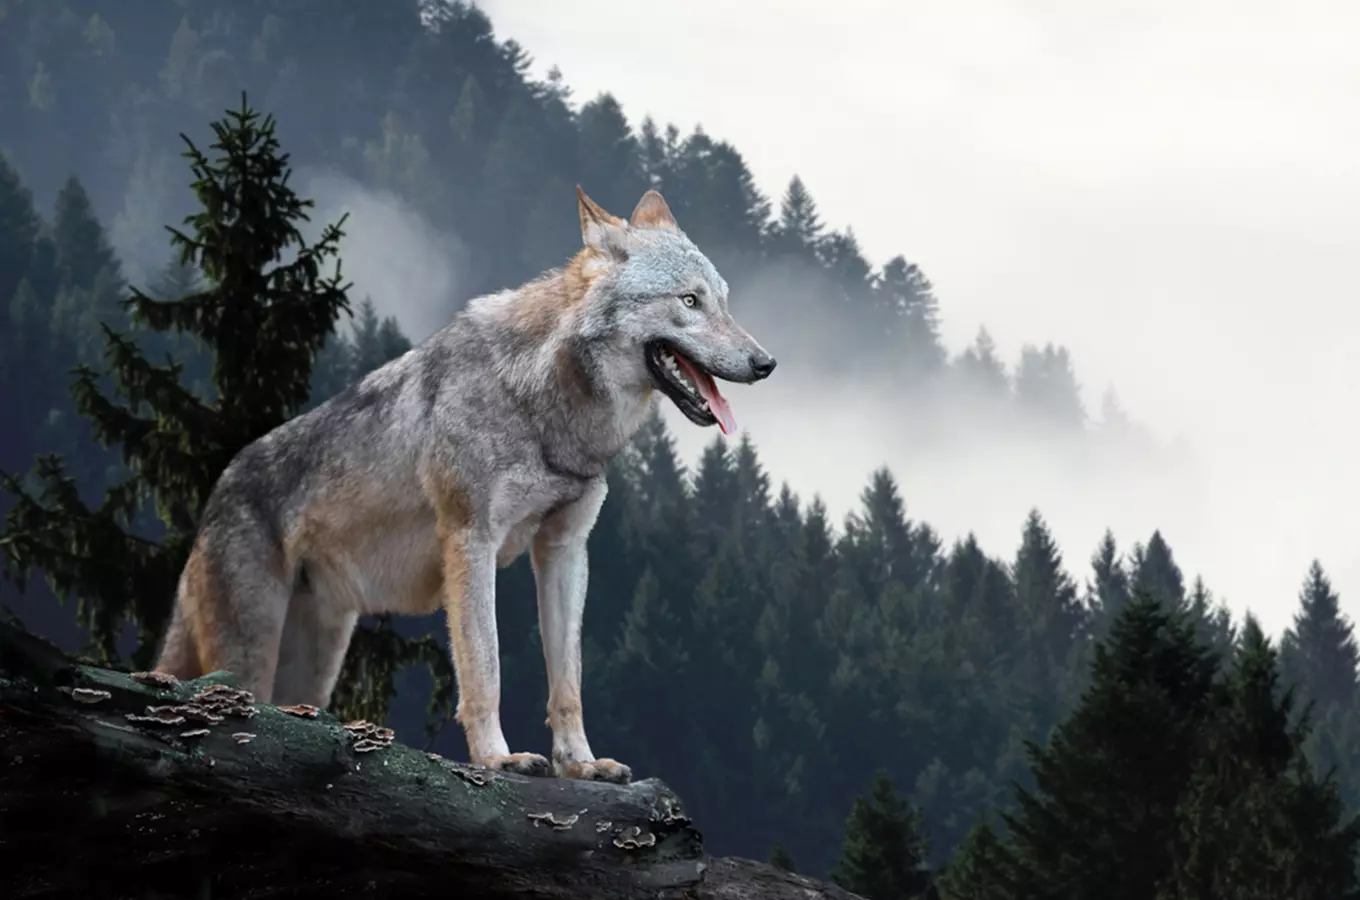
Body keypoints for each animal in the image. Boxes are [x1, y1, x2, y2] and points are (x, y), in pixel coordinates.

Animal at [151, 184, 777, 783]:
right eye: (689, 301)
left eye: (723, 300)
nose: (766, 363)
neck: (541, 404)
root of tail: (217, 492)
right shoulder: (471, 540)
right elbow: (485, 667)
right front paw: (498, 759)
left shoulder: (565, 550)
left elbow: (568, 682)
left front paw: (581, 764)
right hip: (249, 657)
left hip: (315, 666)